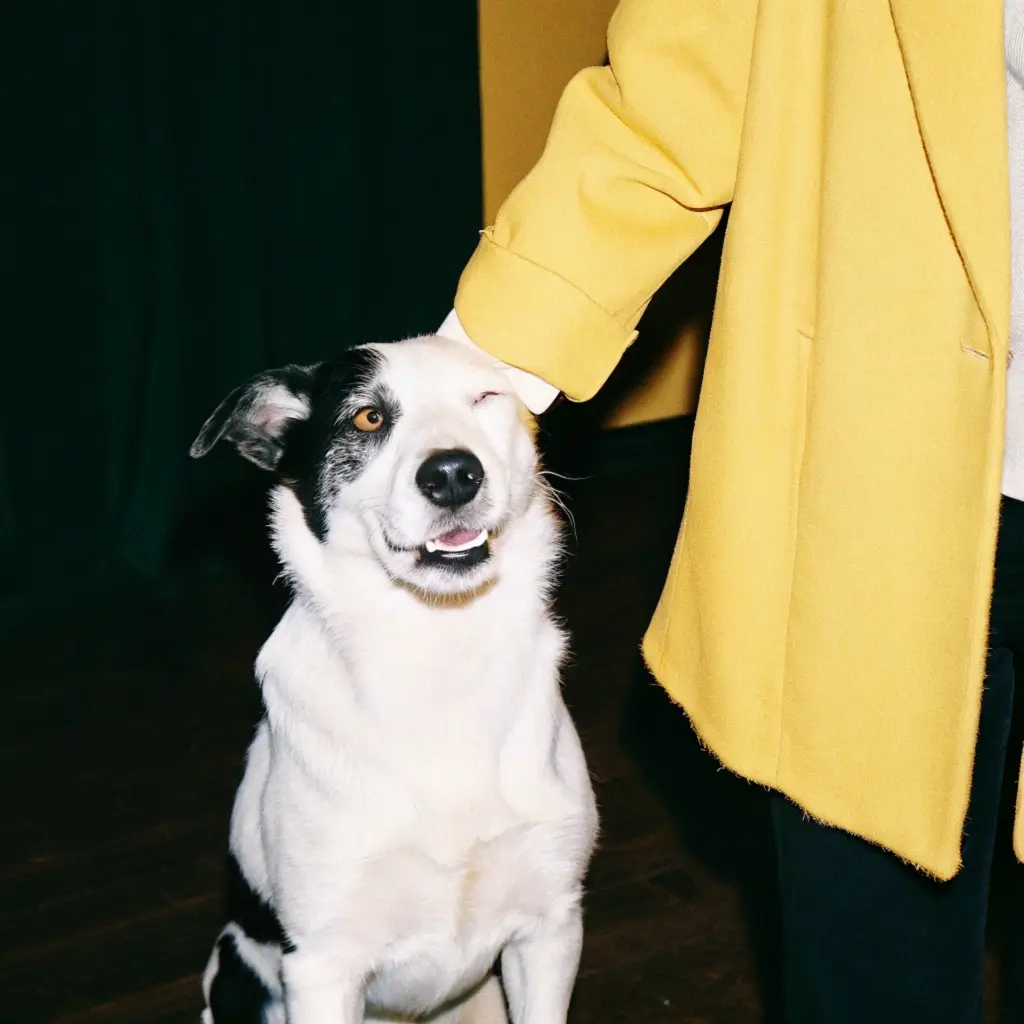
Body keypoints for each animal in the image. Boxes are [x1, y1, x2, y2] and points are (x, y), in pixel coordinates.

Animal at [190, 337, 598, 1024]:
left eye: (485, 397)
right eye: (368, 418)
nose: (453, 474)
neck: (438, 650)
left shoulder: (550, 927)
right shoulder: (322, 965)